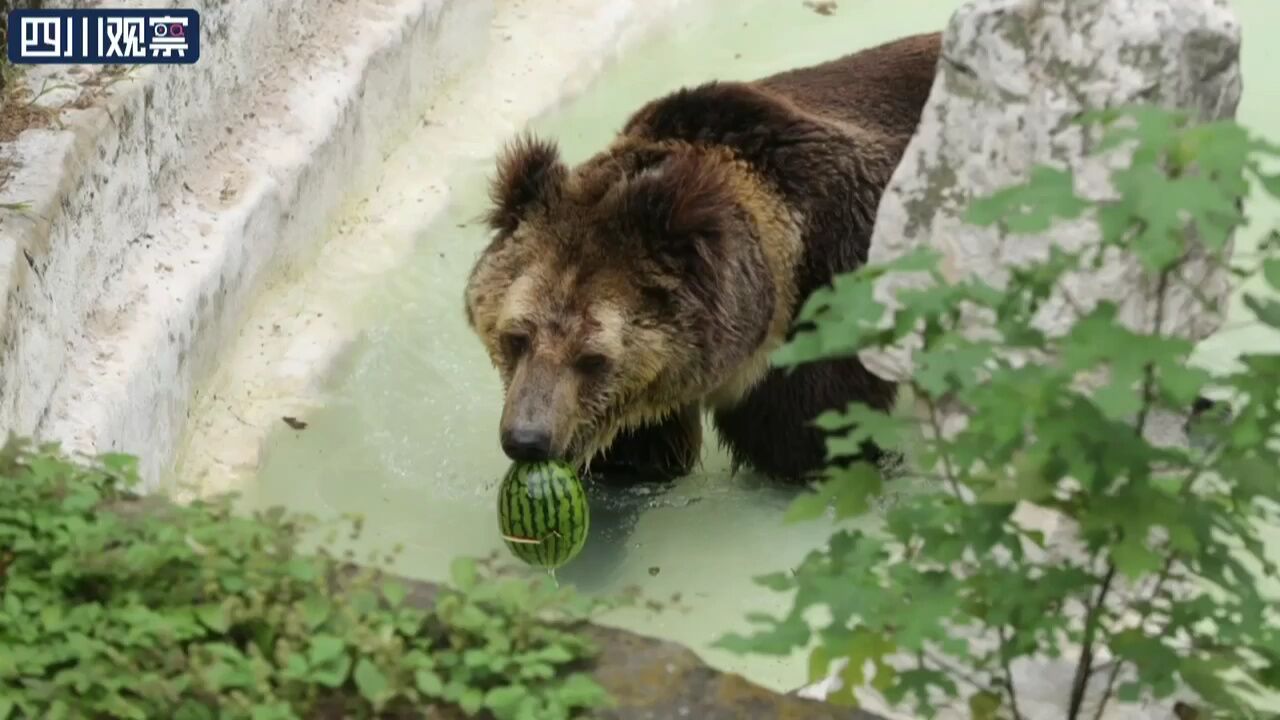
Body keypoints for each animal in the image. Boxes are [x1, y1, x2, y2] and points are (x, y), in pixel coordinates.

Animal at [460, 32, 942, 481]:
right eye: (515, 337)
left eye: (593, 358)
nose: (527, 439)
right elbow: (634, 459)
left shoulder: (829, 293)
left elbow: (806, 437)